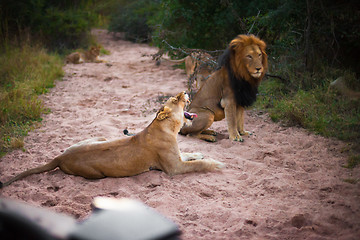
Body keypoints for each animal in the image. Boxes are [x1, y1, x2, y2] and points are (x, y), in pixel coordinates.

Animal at [0, 92, 224, 188]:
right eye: (176, 99)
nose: (184, 91)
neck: (168, 128)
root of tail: (59, 157)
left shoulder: (177, 158)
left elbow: (190, 154)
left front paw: (200, 152)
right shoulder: (173, 168)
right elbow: (199, 164)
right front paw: (217, 163)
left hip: (100, 136)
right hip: (97, 175)